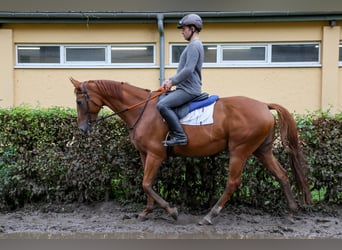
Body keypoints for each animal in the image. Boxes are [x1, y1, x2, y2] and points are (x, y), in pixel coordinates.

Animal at [70, 76, 312, 225]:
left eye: (80, 101)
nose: (82, 129)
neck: (142, 110)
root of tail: (263, 105)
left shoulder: (156, 154)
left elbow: (146, 184)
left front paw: (171, 211)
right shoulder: (144, 154)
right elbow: (146, 184)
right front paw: (146, 211)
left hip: (240, 150)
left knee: (233, 182)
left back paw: (210, 215)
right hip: (262, 150)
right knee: (282, 175)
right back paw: (292, 211)